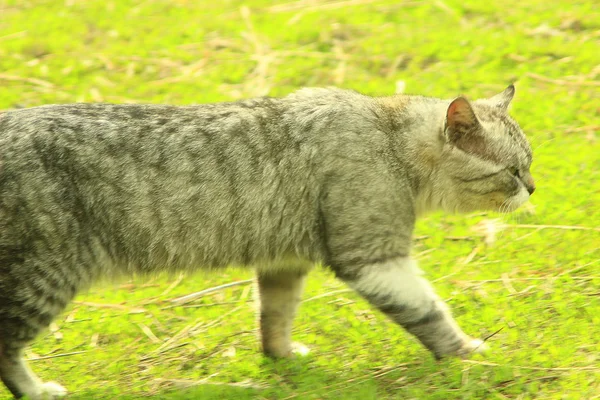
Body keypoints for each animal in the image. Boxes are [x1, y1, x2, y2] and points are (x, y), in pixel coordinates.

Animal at [0, 83, 536, 396]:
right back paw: (36, 390)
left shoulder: (284, 261)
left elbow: (275, 315)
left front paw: (280, 358)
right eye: (512, 172)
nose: (533, 188)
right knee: (7, 348)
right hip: (40, 276)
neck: (389, 138)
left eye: (528, 166)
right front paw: (466, 353)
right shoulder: (373, 256)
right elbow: (429, 312)